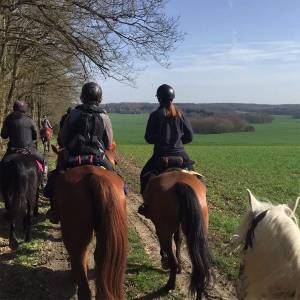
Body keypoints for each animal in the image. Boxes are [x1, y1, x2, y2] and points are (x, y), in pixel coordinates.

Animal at [140, 170, 211, 298]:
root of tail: (180, 184)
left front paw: (165, 258)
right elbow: (178, 240)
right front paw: (180, 267)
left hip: (163, 231)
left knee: (171, 257)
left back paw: (169, 284)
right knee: (199, 268)